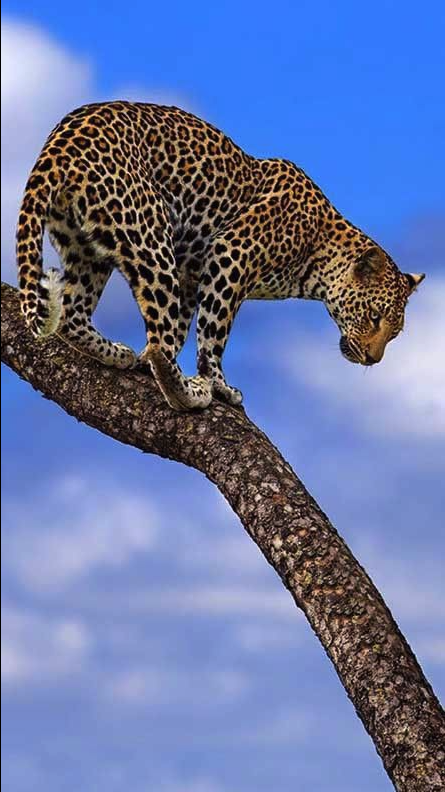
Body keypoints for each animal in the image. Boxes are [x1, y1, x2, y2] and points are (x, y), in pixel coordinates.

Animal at [16, 101, 425, 410]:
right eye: (374, 317)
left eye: (395, 332)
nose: (373, 359)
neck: (317, 252)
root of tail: (57, 147)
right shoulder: (230, 254)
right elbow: (212, 334)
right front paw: (218, 384)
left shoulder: (190, 272)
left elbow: (183, 327)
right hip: (151, 235)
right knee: (157, 341)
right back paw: (187, 392)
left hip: (86, 247)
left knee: (74, 315)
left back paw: (115, 354)